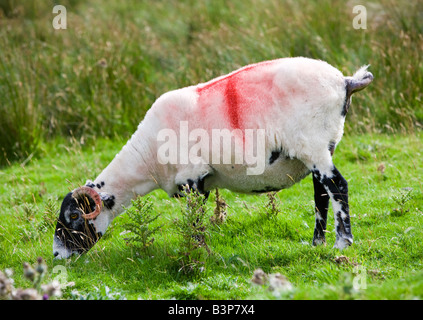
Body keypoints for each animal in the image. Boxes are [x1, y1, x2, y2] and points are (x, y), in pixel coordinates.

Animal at [53, 56, 374, 258]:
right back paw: (317, 243)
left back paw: (342, 244)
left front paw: (198, 252)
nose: (57, 254)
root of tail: (345, 82)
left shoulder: (193, 178)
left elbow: (195, 221)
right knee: (322, 194)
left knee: (338, 187)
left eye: (74, 216)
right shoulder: (200, 183)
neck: (147, 159)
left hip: (313, 146)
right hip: (321, 149)